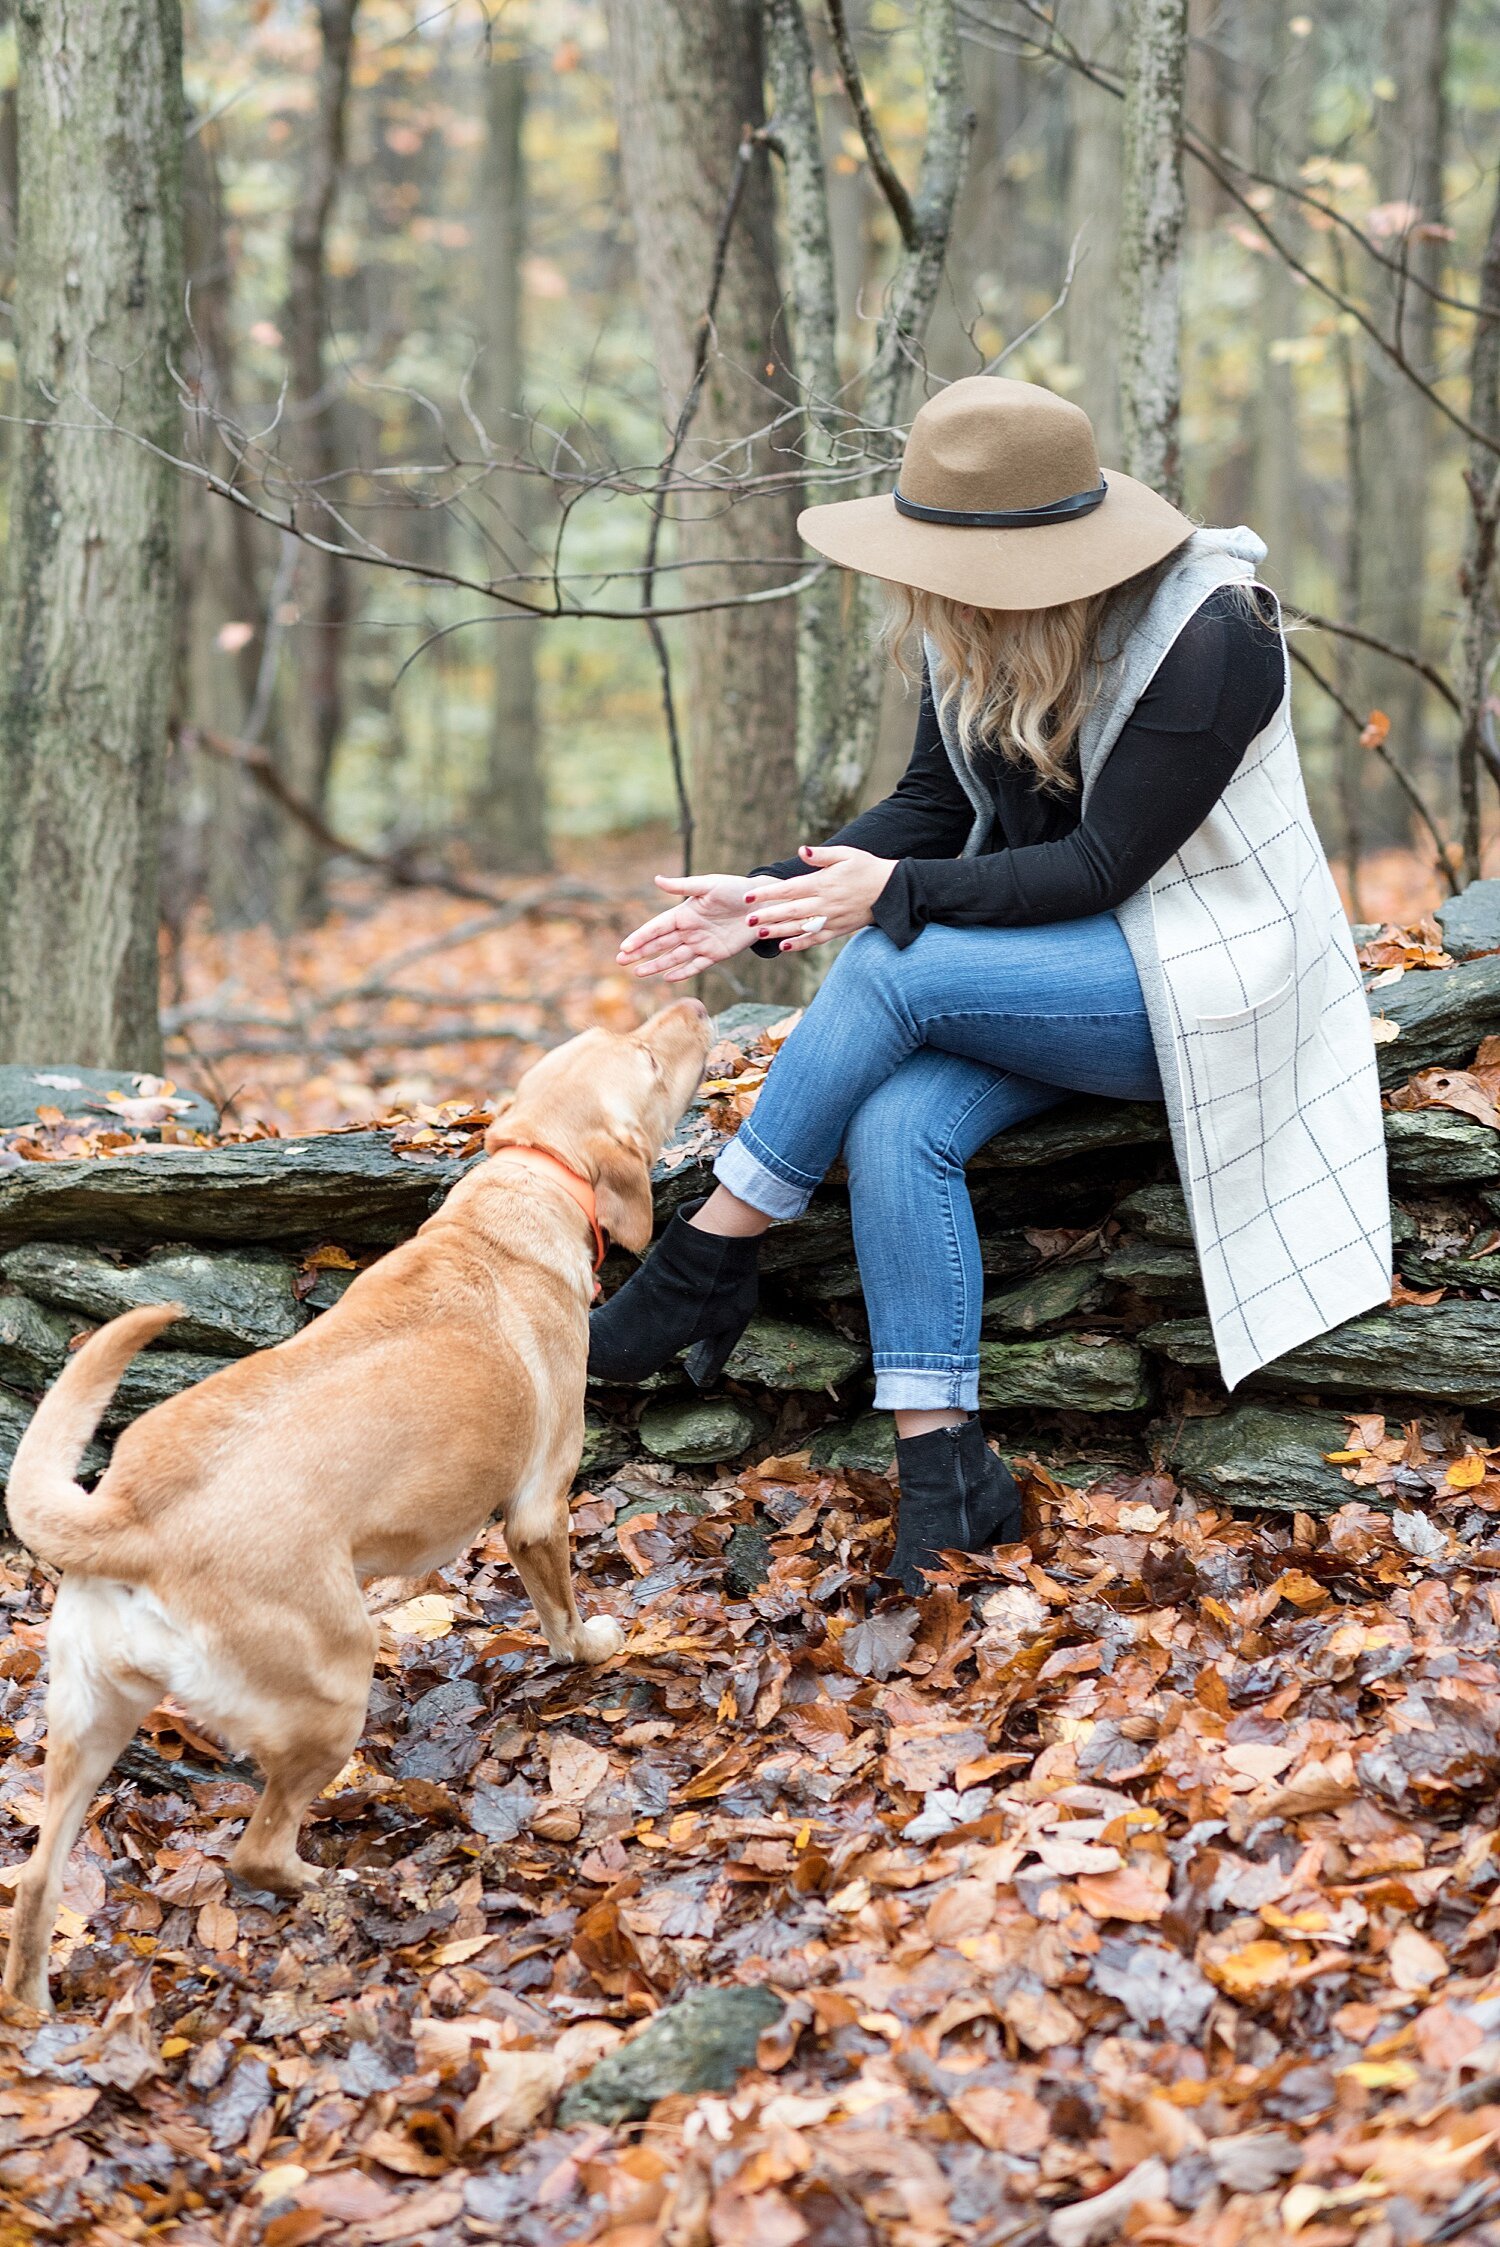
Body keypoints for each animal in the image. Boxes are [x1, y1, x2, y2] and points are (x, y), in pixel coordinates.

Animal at [1, 1002, 714, 2004]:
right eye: (649, 1056)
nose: (692, 1004)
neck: (522, 1189)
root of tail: (130, 1516)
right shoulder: (539, 1508)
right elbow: (565, 1619)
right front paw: (595, 1646)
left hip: (87, 1725)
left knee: (35, 1881)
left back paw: (31, 2011)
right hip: (334, 1688)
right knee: (257, 1852)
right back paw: (338, 1883)